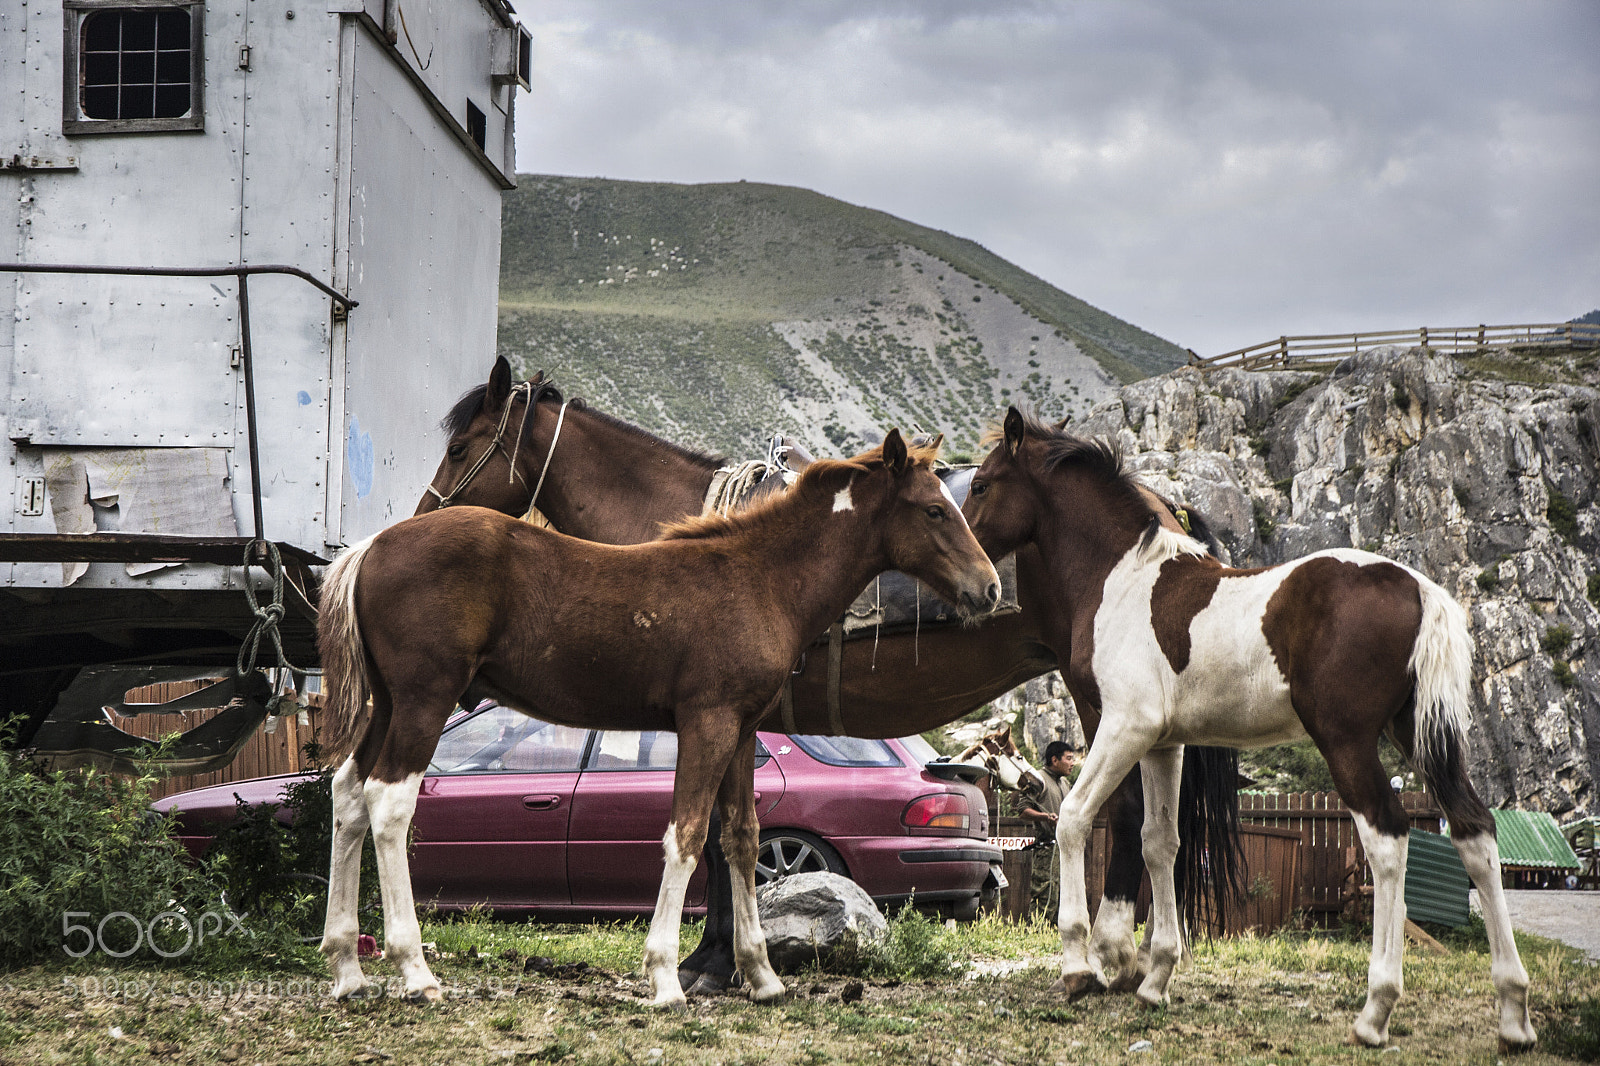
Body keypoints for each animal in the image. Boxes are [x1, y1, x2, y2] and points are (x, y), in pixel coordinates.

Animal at [317, 429, 1001, 1008]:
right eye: (934, 510)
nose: (989, 588)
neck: (762, 577)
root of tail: (370, 547)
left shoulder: (741, 729)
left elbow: (741, 836)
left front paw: (761, 976)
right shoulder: (707, 721)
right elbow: (688, 836)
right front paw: (667, 978)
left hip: (389, 703)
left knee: (348, 794)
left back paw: (348, 970)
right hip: (425, 698)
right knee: (389, 802)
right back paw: (415, 972)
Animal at [413, 357, 1243, 994]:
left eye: (462, 447)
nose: (421, 518)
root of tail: (1164, 509)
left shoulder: (715, 719)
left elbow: (716, 838)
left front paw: (711, 964)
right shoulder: (733, 721)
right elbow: (734, 830)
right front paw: (725, 959)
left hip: (1102, 693)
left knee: (1127, 815)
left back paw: (1116, 952)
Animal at [961, 407, 1536, 1051]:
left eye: (980, 485)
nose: (977, 581)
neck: (1125, 582)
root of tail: (1421, 588)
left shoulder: (1123, 727)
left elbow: (1075, 819)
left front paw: (1079, 967)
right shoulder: (1164, 745)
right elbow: (1161, 841)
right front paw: (1155, 978)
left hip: (1348, 743)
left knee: (1387, 837)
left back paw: (1376, 1011)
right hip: (1421, 738)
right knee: (1474, 829)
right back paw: (1514, 1014)